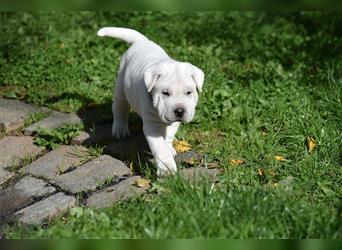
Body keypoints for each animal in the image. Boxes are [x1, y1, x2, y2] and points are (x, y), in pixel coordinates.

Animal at [97, 27, 203, 176]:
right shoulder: (152, 126)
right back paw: (119, 130)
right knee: (120, 109)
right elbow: (160, 146)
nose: (179, 111)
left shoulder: (172, 123)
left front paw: (169, 148)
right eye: (165, 93)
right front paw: (166, 168)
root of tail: (141, 41)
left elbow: (168, 137)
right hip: (121, 88)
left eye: (189, 92)